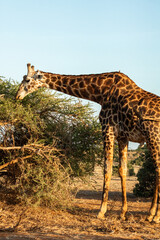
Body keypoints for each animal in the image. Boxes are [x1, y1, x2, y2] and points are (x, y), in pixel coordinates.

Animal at [15, 63, 159, 223]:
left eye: (27, 80)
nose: (17, 95)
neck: (100, 93)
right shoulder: (123, 136)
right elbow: (122, 170)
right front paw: (122, 212)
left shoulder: (107, 128)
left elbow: (107, 169)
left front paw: (101, 211)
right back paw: (152, 213)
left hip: (153, 137)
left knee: (158, 169)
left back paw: (153, 215)